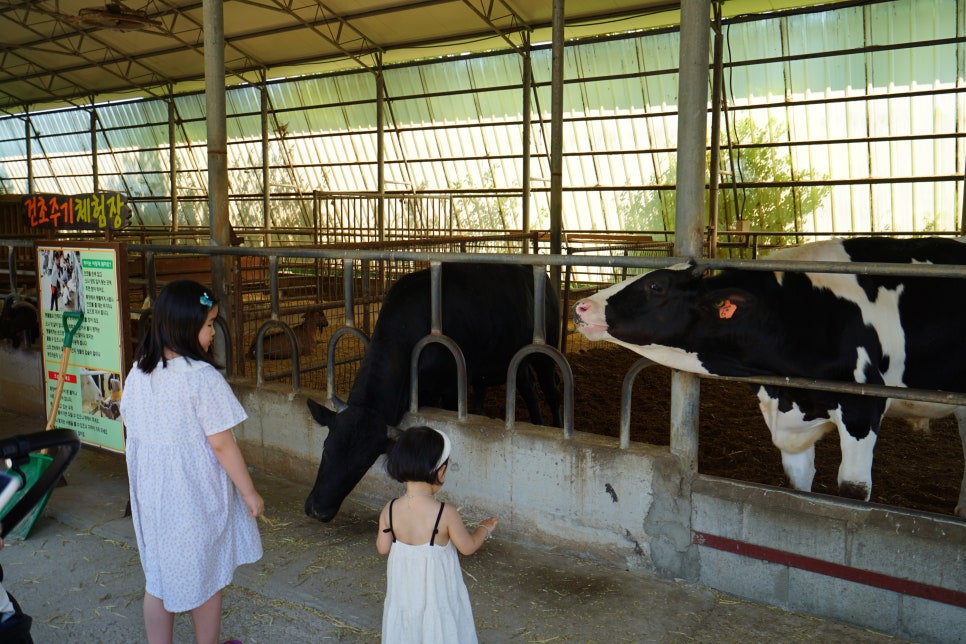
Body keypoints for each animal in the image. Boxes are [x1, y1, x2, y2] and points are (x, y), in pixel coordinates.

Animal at [302, 264, 560, 520]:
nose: (318, 510)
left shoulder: (451, 390)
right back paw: (537, 423)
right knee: (529, 391)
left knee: (552, 391)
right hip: (516, 363)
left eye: (363, 463)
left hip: (545, 353)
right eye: (326, 449)